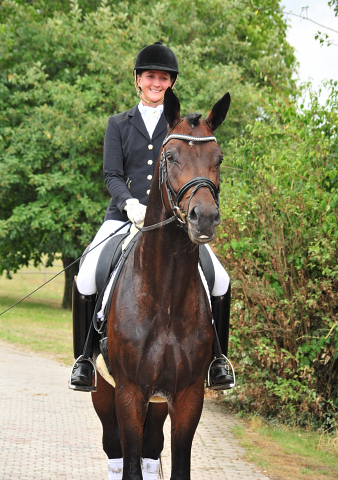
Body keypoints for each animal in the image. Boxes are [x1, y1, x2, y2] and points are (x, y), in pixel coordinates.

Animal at [92, 87, 230, 480]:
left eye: (218, 158)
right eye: (171, 156)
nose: (205, 218)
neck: (166, 293)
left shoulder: (188, 397)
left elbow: (177, 465)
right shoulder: (129, 393)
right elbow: (130, 465)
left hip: (157, 402)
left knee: (152, 449)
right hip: (103, 392)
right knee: (115, 451)